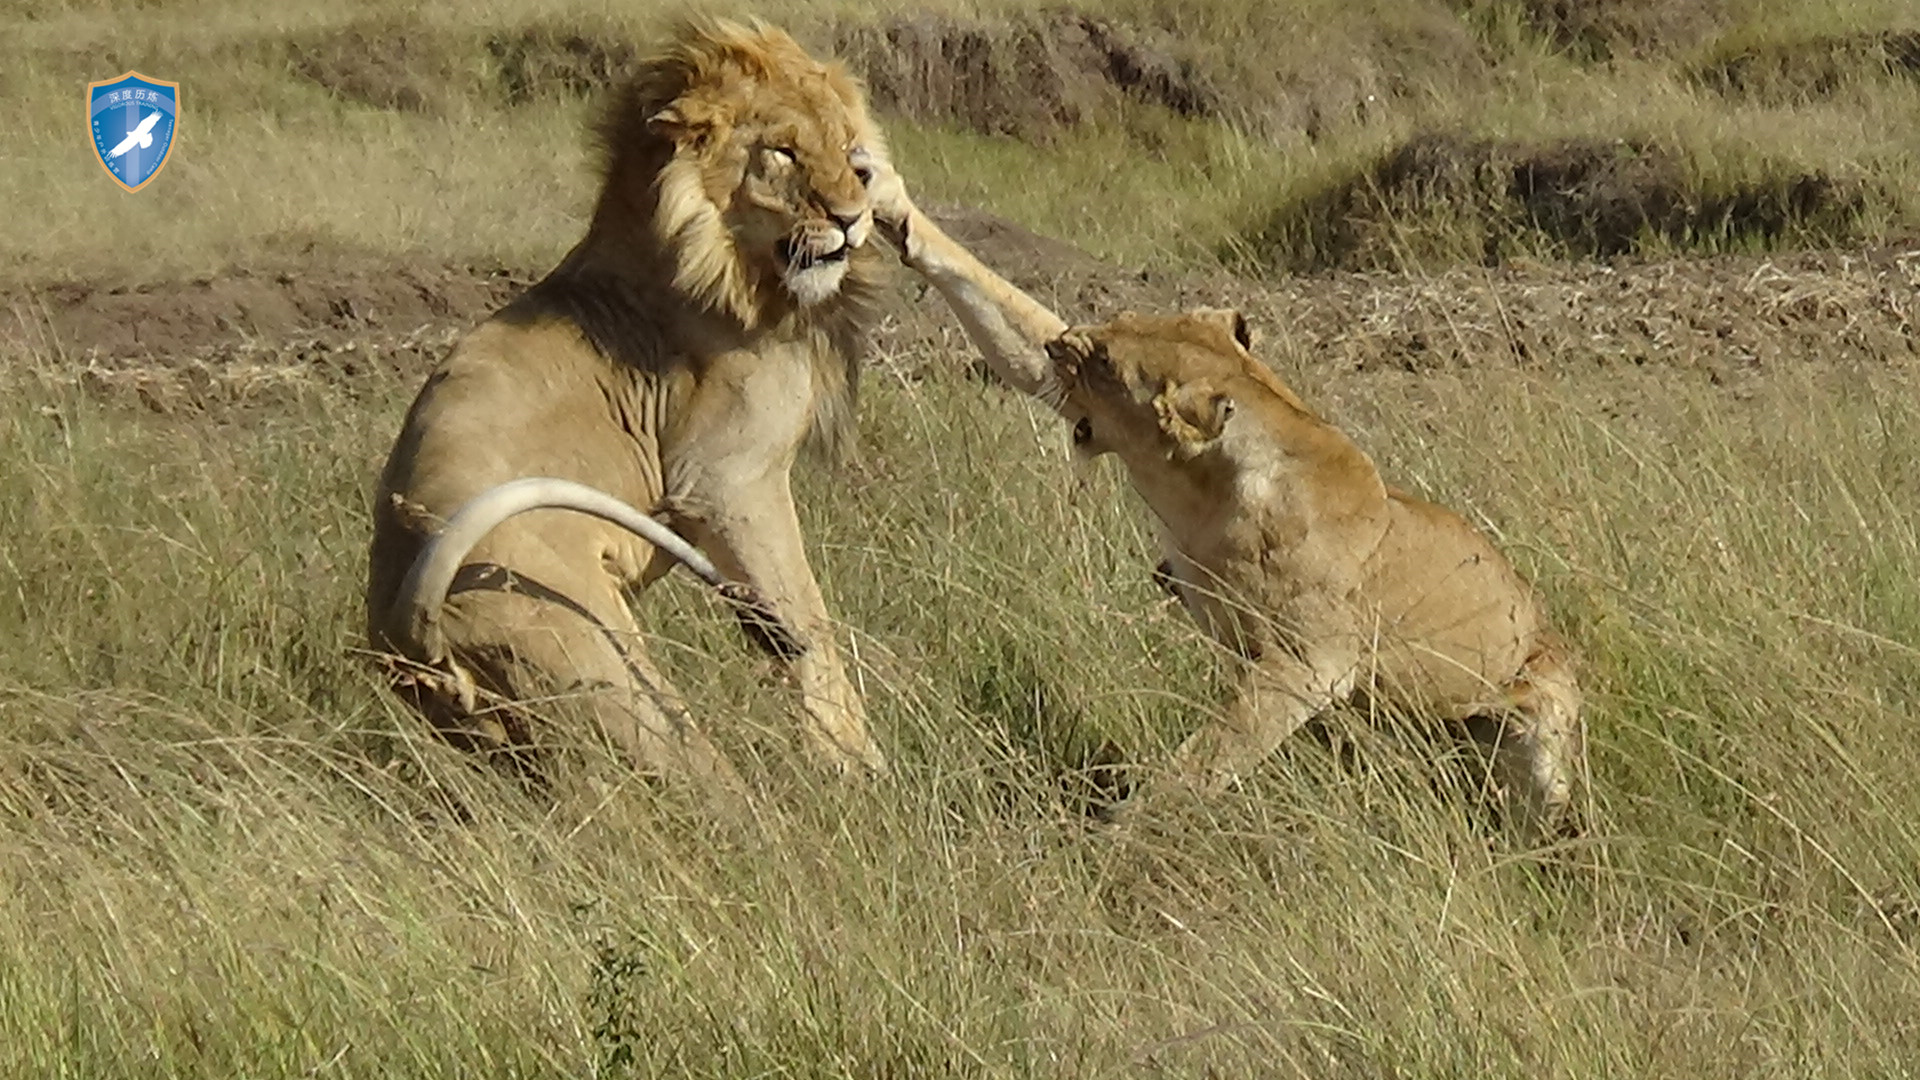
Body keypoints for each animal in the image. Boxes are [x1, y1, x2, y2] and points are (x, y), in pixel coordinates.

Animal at [362, 16, 887, 799]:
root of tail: (410, 623)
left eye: (851, 151)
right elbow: (808, 620)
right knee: (713, 798)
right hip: (610, 677)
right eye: (783, 153)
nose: (853, 218)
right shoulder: (726, 479)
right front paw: (856, 763)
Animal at [864, 166, 1582, 834]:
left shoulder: (1309, 666)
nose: (1059, 343)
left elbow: (1197, 766)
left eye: (1104, 361)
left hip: (1540, 713)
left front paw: (1115, 836)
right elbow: (990, 290)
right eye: (1121, 321)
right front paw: (890, 202)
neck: (1202, 491)